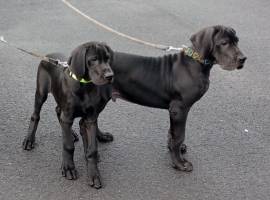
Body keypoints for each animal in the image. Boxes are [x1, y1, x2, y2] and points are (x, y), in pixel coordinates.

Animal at [23, 41, 114, 188]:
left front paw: (94, 174)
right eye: (93, 59)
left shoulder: (90, 119)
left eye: (107, 58)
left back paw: (71, 133)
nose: (110, 76)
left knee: (58, 111)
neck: (84, 86)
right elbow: (68, 146)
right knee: (36, 115)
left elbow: (92, 149)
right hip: (41, 92)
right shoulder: (69, 115)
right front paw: (68, 168)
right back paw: (29, 139)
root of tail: (48, 56)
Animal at [96, 25, 245, 175]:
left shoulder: (175, 110)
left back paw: (102, 137)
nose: (243, 59)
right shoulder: (179, 109)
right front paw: (179, 163)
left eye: (237, 41)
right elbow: (179, 135)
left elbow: (172, 133)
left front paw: (172, 147)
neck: (196, 62)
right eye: (224, 43)